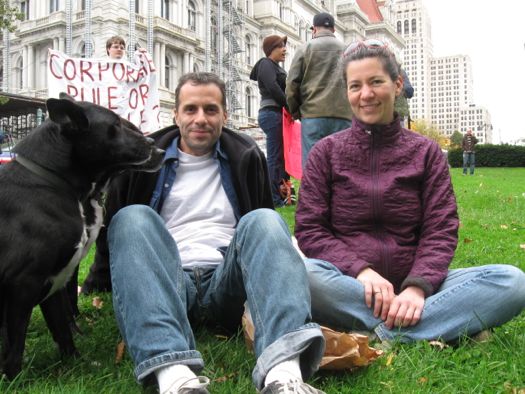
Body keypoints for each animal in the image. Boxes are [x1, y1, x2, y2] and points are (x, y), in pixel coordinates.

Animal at [0, 94, 164, 378]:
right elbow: (16, 345)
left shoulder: (55, 279)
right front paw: (13, 379)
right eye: (116, 125)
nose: (158, 147)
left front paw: (75, 364)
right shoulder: (23, 283)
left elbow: (62, 328)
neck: (52, 178)